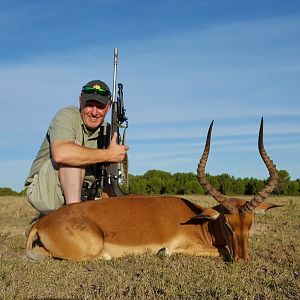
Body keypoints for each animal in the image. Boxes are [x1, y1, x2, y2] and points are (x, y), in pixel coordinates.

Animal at [25, 118, 278, 262]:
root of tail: (42, 223)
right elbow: (222, 250)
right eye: (227, 224)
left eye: (250, 223)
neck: (200, 223)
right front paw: (164, 253)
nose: (242, 260)